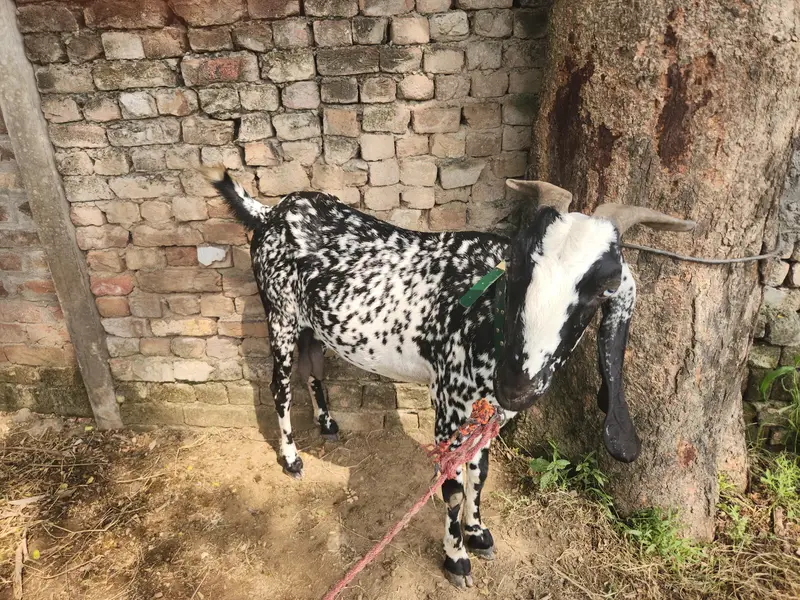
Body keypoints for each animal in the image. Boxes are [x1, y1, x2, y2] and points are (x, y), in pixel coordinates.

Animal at [203, 168, 695, 588]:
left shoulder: (486, 410)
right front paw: (456, 558)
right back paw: (291, 458)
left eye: (604, 286)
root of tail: (270, 212)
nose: (517, 386)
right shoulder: (449, 402)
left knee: (313, 370)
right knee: (280, 387)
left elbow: (481, 470)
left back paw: (327, 425)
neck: (485, 314)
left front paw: (478, 533)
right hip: (280, 315)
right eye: (518, 264)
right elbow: (454, 485)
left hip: (311, 327)